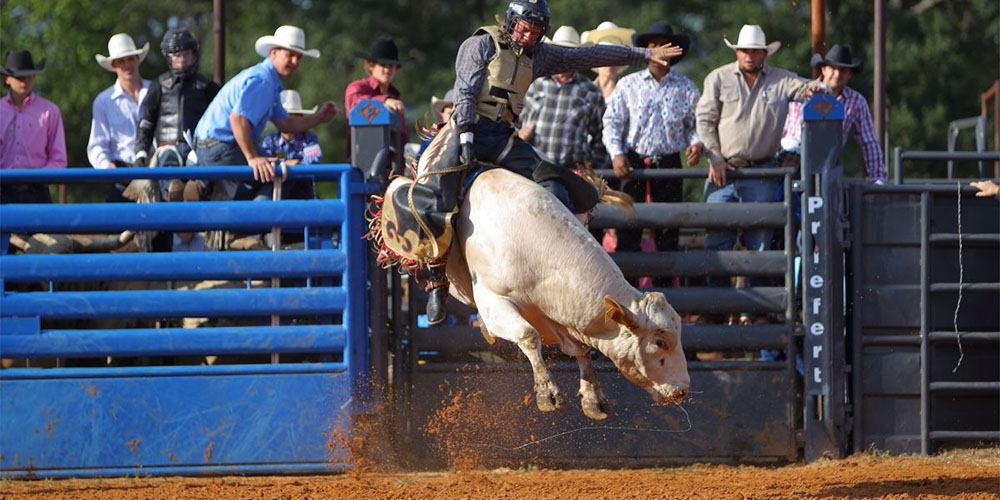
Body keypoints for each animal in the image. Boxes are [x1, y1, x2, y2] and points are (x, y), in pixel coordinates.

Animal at [446, 166, 688, 420]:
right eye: (660, 342)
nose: (683, 390)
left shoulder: (557, 310)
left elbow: (580, 348)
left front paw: (593, 397)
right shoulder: (493, 301)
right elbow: (528, 335)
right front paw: (547, 392)